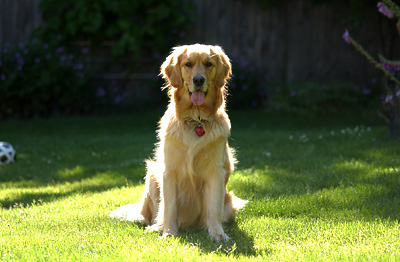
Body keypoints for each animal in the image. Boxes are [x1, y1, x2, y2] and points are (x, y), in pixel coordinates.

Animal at [110, 44, 247, 241]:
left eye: (209, 64)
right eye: (188, 64)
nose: (198, 80)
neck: (196, 120)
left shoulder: (215, 172)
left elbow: (213, 208)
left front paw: (217, 234)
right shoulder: (169, 171)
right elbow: (169, 208)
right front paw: (168, 232)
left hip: (230, 202)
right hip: (152, 173)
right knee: (148, 215)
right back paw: (155, 226)